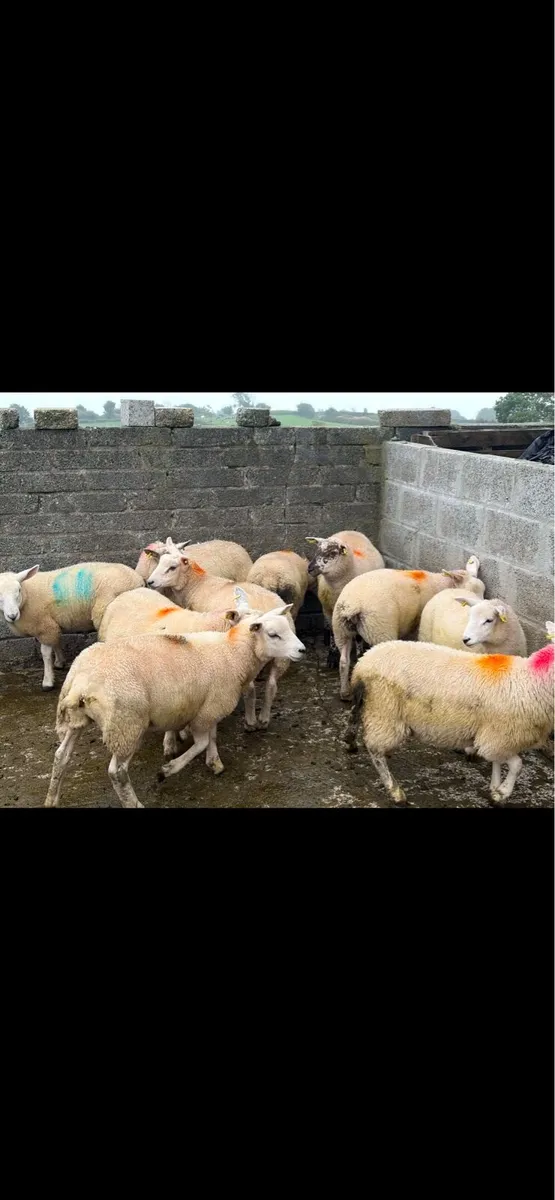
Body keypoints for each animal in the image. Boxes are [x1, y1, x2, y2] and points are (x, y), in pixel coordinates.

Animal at [0, 561, 144, 690]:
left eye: (18, 590)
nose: (12, 615)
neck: (28, 596)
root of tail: (137, 579)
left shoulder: (44, 627)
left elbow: (45, 654)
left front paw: (47, 681)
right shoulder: (52, 624)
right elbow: (56, 642)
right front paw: (60, 662)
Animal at [44, 607, 306, 808]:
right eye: (273, 634)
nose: (302, 650)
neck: (232, 652)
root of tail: (82, 680)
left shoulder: (209, 705)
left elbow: (211, 737)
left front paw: (214, 762)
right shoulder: (208, 710)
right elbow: (202, 742)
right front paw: (167, 770)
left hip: (78, 720)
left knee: (61, 756)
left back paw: (52, 799)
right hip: (126, 725)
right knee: (116, 772)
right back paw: (134, 803)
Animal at [146, 539, 299, 729]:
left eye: (172, 567)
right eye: (159, 561)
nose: (150, 582)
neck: (197, 584)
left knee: (251, 689)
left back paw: (250, 721)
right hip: (282, 657)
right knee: (271, 686)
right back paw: (263, 718)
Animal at [332, 556, 484, 700]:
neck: (442, 584)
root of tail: (352, 605)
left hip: (340, 629)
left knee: (344, 661)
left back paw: (345, 693)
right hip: (379, 629)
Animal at [345, 621, 555, 806]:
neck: (532, 680)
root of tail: (362, 666)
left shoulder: (497, 736)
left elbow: (495, 761)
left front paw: (495, 790)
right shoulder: (500, 735)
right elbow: (517, 765)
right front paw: (502, 793)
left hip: (370, 703)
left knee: (354, 717)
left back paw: (349, 742)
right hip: (386, 711)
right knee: (375, 750)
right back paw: (395, 791)